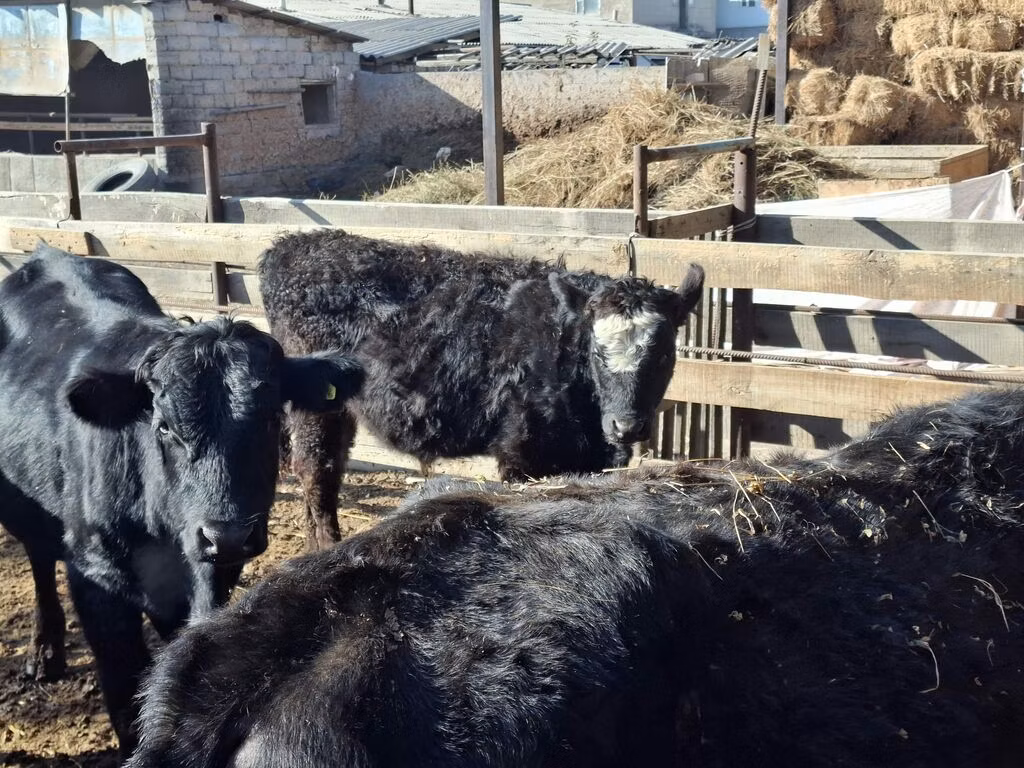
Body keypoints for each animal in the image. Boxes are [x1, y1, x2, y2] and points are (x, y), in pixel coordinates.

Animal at [0, 244, 364, 756]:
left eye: (272, 418)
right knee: (38, 556)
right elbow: (125, 701)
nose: (226, 534)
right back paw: (43, 652)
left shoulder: (214, 573)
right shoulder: (96, 578)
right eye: (165, 426)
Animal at [257, 229, 705, 548]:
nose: (626, 426)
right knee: (316, 470)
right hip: (317, 406)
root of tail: (290, 245)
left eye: (665, 354)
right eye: (596, 350)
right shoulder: (521, 451)